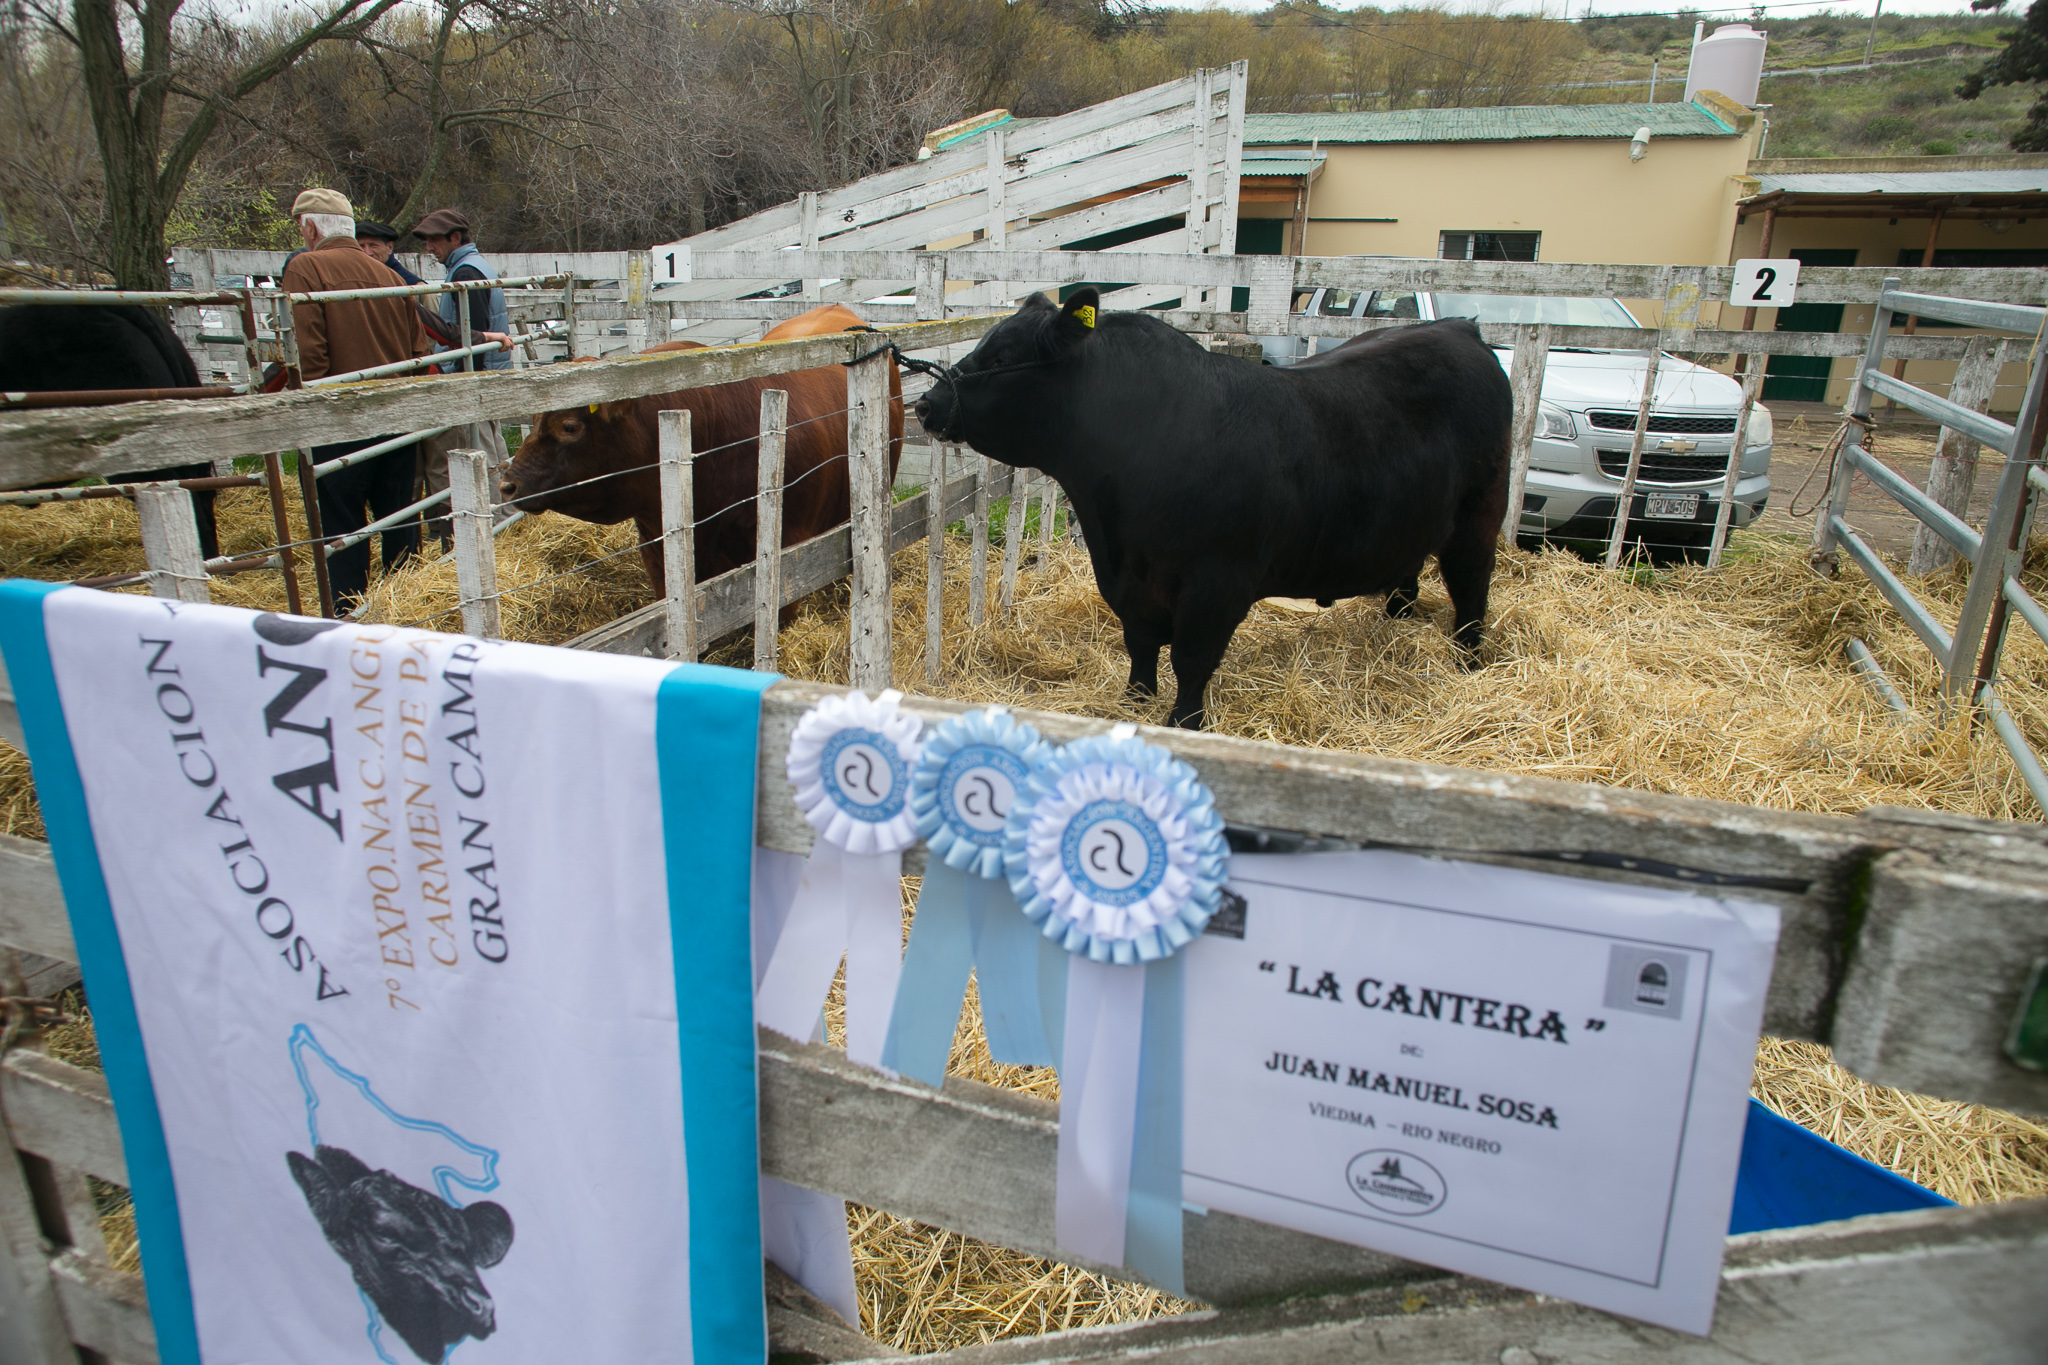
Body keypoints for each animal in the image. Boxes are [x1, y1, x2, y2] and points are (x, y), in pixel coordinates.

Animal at [921, 292, 1515, 732]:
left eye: (1002, 359)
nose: (928, 404)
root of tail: (1461, 330)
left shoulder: (1218, 581)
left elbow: (1191, 658)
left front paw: (1184, 723)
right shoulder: (1127, 580)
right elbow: (1139, 644)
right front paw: (1135, 701)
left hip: (1479, 514)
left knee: (1471, 587)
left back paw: (1467, 660)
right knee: (1406, 580)